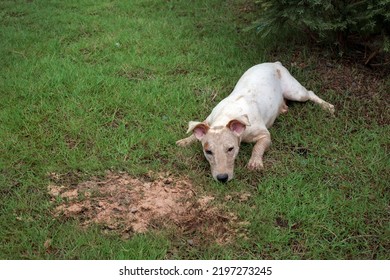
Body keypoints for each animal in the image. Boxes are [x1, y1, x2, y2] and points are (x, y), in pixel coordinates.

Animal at [177, 62, 332, 183]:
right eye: (208, 151)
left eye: (231, 149)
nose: (222, 178)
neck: (228, 116)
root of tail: (275, 63)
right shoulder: (208, 120)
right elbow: (195, 131)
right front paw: (185, 141)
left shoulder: (265, 135)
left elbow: (258, 147)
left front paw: (255, 163)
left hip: (296, 92)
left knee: (309, 93)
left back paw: (328, 106)